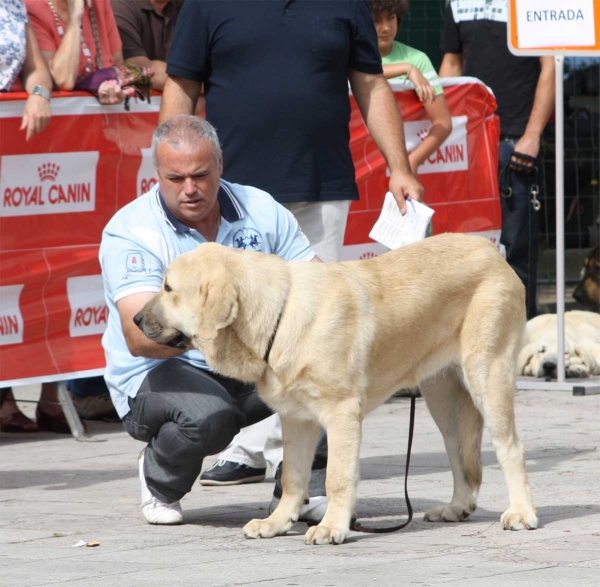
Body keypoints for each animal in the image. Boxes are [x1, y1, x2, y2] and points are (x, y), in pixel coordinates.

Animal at [136, 233, 540, 548]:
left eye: (168, 288)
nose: (137, 319)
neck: (277, 316)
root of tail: (491, 250)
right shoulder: (296, 419)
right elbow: (292, 476)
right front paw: (277, 523)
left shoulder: (342, 413)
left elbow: (337, 477)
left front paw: (331, 527)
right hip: (443, 396)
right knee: (461, 456)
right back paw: (457, 507)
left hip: (487, 376)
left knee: (510, 448)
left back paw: (522, 513)